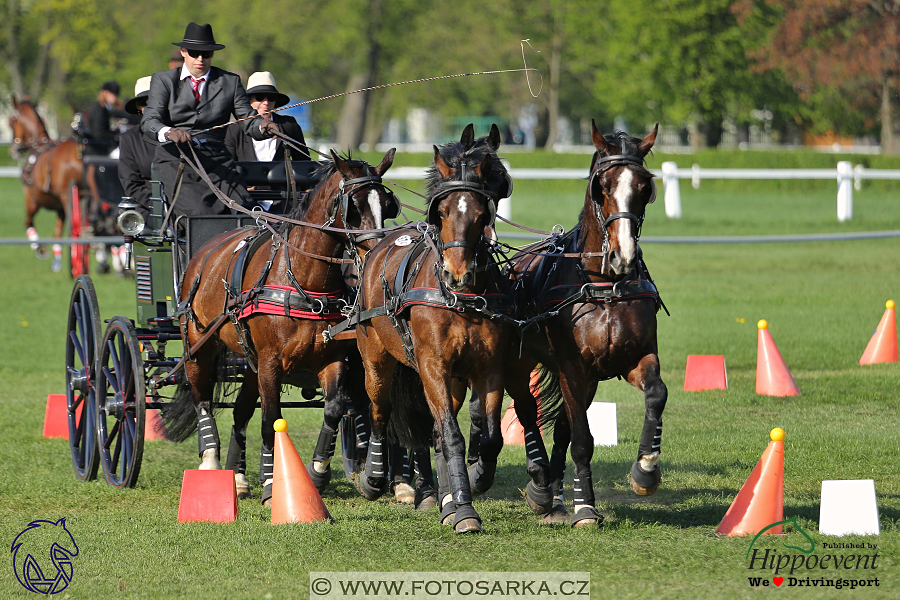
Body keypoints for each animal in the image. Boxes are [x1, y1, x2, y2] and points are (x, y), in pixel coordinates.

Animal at [8, 97, 83, 270]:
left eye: (12, 121)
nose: (14, 150)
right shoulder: (60, 208)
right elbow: (57, 232)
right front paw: (57, 261)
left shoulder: (32, 200)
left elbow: (28, 223)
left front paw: (40, 249)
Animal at [161, 149, 398, 502]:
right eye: (353, 206)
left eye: (386, 202)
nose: (376, 252)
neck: (302, 279)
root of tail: (204, 251)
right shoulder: (271, 363)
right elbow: (272, 419)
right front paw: (273, 482)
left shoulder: (329, 359)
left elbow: (333, 409)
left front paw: (316, 473)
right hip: (198, 347)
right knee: (203, 399)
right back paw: (211, 463)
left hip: (250, 360)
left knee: (241, 411)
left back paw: (238, 477)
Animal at [354, 125, 512, 536]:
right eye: (441, 212)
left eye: (482, 210)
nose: (458, 273)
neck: (460, 299)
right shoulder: (432, 366)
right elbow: (453, 437)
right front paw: (466, 511)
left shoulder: (489, 369)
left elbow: (489, 437)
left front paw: (472, 483)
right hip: (377, 360)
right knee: (380, 411)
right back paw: (373, 478)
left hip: (452, 381)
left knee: (437, 430)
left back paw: (446, 500)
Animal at [506, 120, 668, 524]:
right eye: (602, 185)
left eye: (644, 186)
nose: (623, 256)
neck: (603, 284)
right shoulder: (571, 366)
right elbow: (582, 439)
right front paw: (586, 507)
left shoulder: (632, 359)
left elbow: (656, 394)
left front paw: (646, 469)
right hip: (523, 364)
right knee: (528, 412)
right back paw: (541, 488)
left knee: (562, 426)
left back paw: (557, 496)